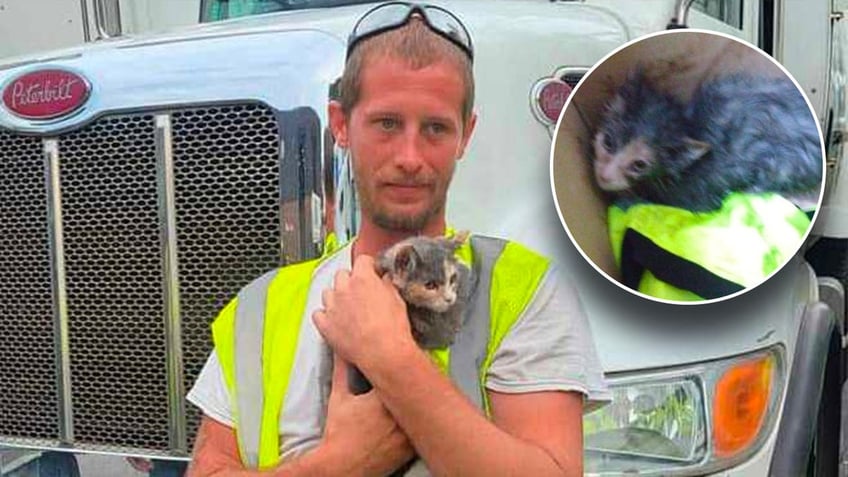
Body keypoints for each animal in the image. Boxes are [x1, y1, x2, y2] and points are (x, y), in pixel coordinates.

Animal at [588, 69, 820, 211]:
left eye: (639, 165)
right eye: (608, 142)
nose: (604, 176)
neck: (690, 124)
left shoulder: (698, 194)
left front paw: (627, 201)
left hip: (783, 166)